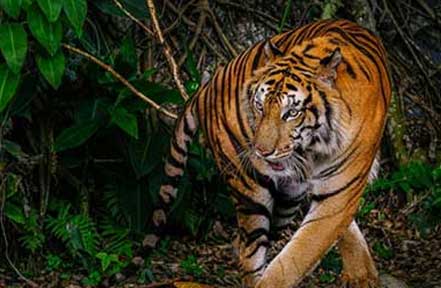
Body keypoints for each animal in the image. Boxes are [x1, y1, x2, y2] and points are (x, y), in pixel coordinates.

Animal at [150, 19, 390, 286]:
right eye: (259, 106)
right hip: (249, 186)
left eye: (292, 113)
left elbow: (299, 253)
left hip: (288, 201)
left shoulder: (339, 191)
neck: (315, 150)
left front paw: (361, 275)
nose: (261, 152)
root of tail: (210, 84)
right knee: (249, 250)